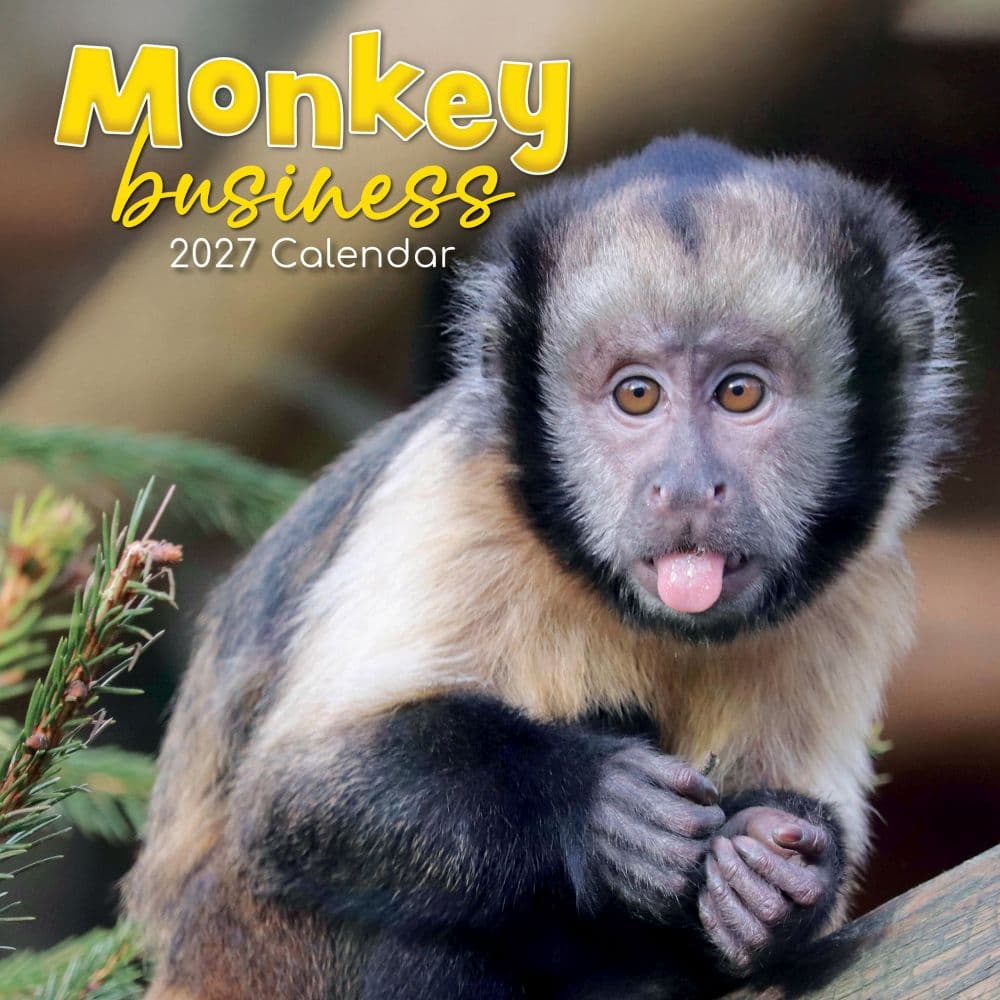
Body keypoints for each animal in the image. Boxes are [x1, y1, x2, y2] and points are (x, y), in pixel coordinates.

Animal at [124, 134, 960, 999]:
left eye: (739, 393)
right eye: (636, 396)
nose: (685, 486)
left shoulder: (856, 588)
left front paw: (775, 874)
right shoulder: (451, 495)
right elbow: (291, 797)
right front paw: (591, 803)